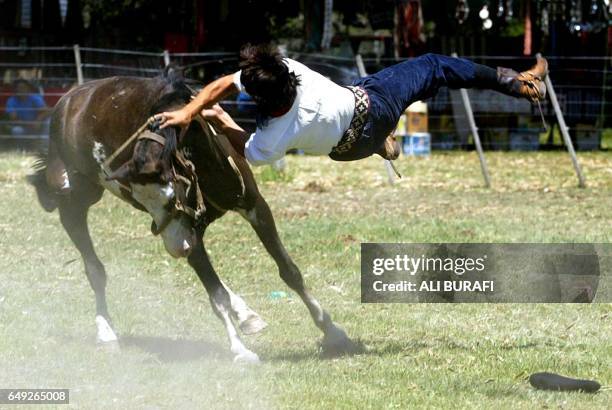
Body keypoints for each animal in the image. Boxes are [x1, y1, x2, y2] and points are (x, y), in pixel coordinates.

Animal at [29, 68, 354, 362]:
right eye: (140, 198)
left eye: (173, 193)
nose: (177, 248)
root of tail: (67, 102)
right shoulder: (191, 232)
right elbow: (216, 294)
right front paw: (239, 350)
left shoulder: (255, 207)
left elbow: (289, 271)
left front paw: (333, 331)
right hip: (73, 201)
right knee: (94, 267)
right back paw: (106, 333)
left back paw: (246, 314)